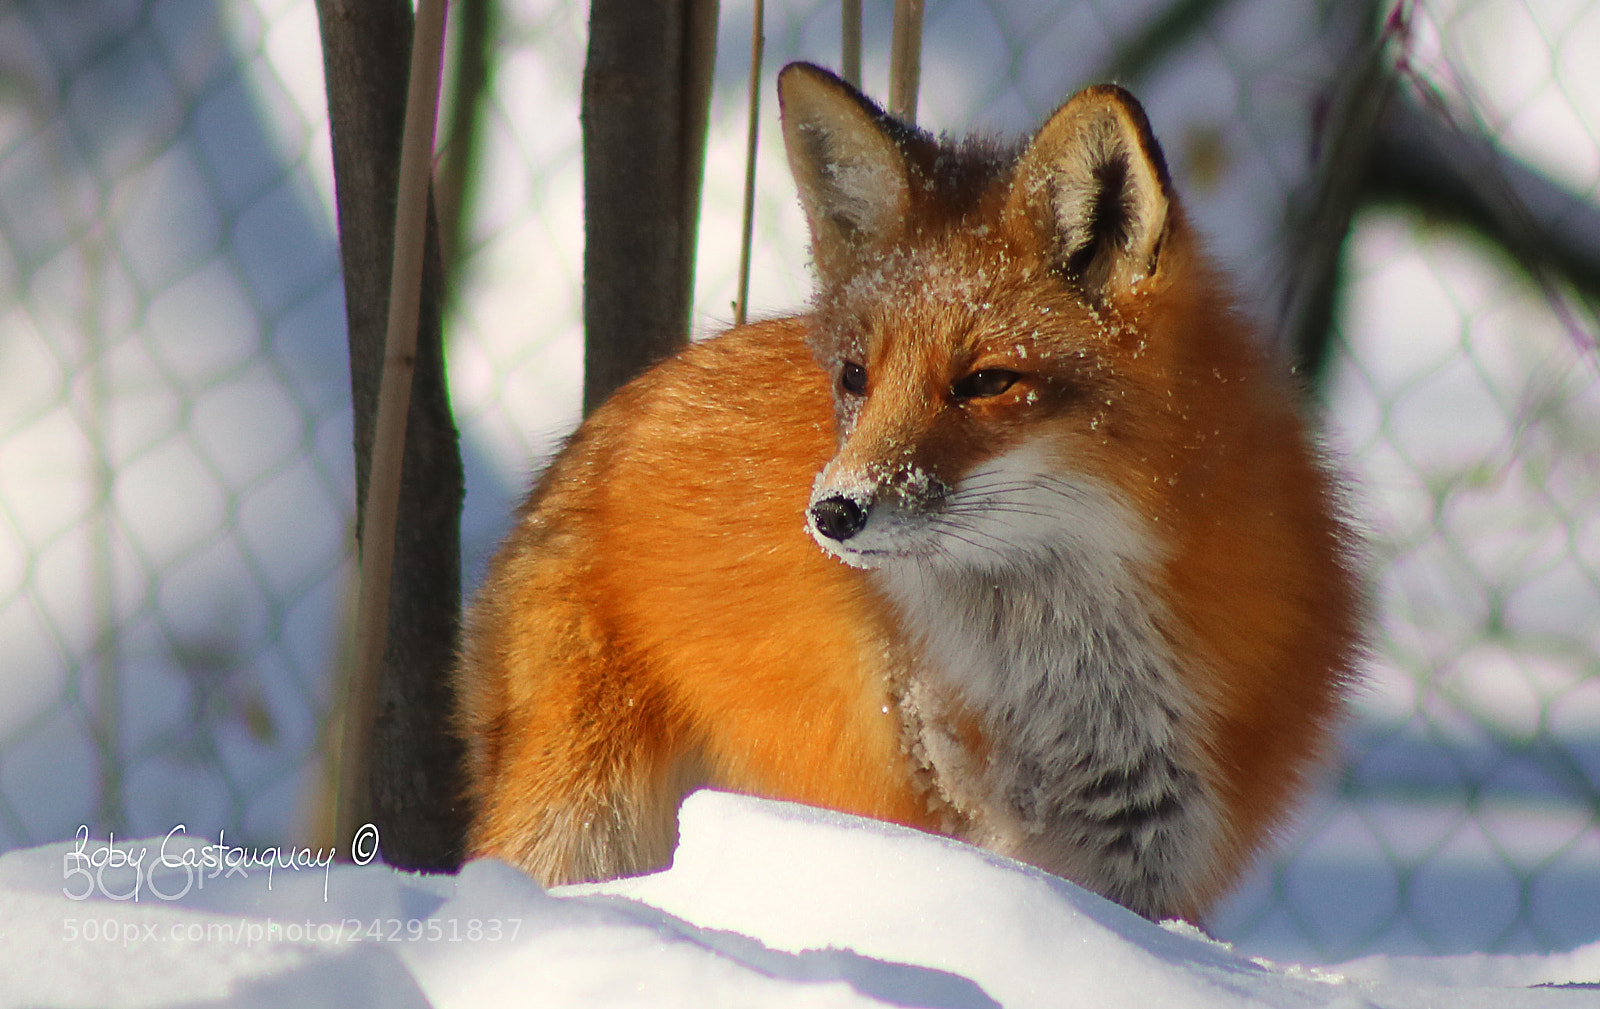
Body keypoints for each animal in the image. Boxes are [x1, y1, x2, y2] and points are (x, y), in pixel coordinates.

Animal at [454, 62, 1362, 922]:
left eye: (988, 381)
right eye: (856, 375)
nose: (832, 513)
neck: (1079, 690)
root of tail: (601, 424)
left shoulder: (1152, 864)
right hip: (582, 815)